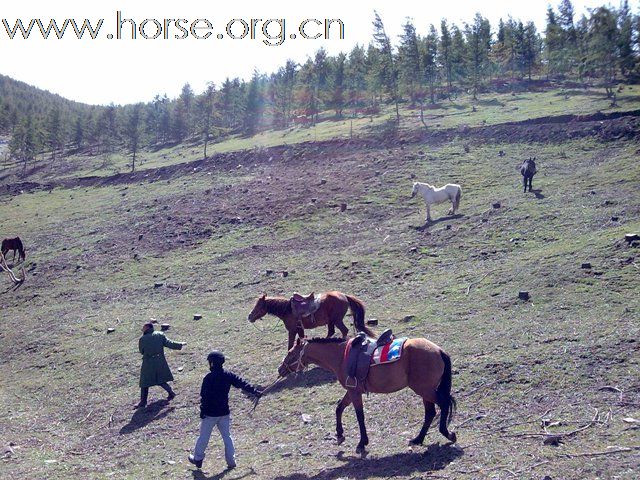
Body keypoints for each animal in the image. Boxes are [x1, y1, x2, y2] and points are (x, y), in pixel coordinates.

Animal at [246, 290, 376, 350]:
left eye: (258, 305)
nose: (249, 316)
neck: (287, 309)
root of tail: (344, 296)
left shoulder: (292, 330)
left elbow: (290, 344)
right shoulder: (299, 329)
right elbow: (301, 339)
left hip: (337, 320)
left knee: (344, 331)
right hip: (331, 321)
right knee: (331, 332)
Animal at [278, 334, 458, 454]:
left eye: (291, 353)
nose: (280, 369)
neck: (341, 356)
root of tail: (438, 350)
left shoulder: (354, 392)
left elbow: (359, 416)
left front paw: (362, 443)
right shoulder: (351, 390)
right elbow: (339, 408)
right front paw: (340, 435)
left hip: (424, 390)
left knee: (443, 404)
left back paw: (447, 433)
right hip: (424, 391)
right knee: (431, 413)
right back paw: (418, 439)